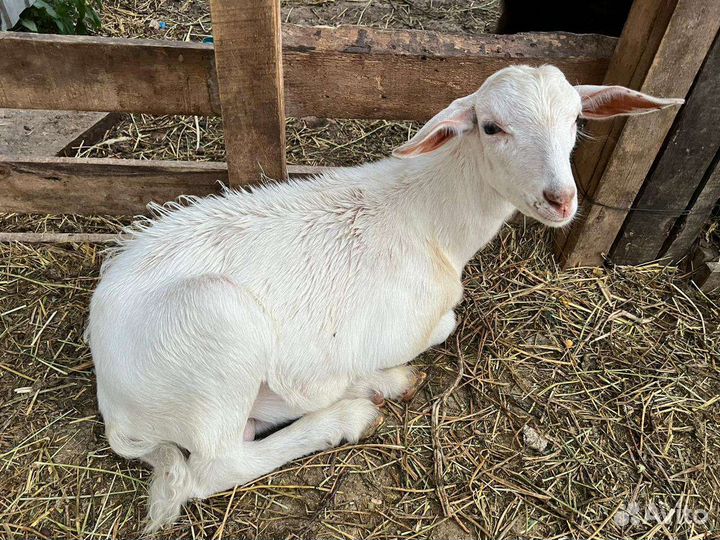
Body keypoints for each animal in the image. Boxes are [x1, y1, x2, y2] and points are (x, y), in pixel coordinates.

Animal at [87, 65, 682, 532]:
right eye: (492, 126)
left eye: (577, 121)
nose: (560, 200)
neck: (433, 217)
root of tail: (115, 405)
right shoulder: (419, 316)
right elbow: (446, 323)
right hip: (217, 330)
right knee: (217, 465)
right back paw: (347, 413)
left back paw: (372, 385)